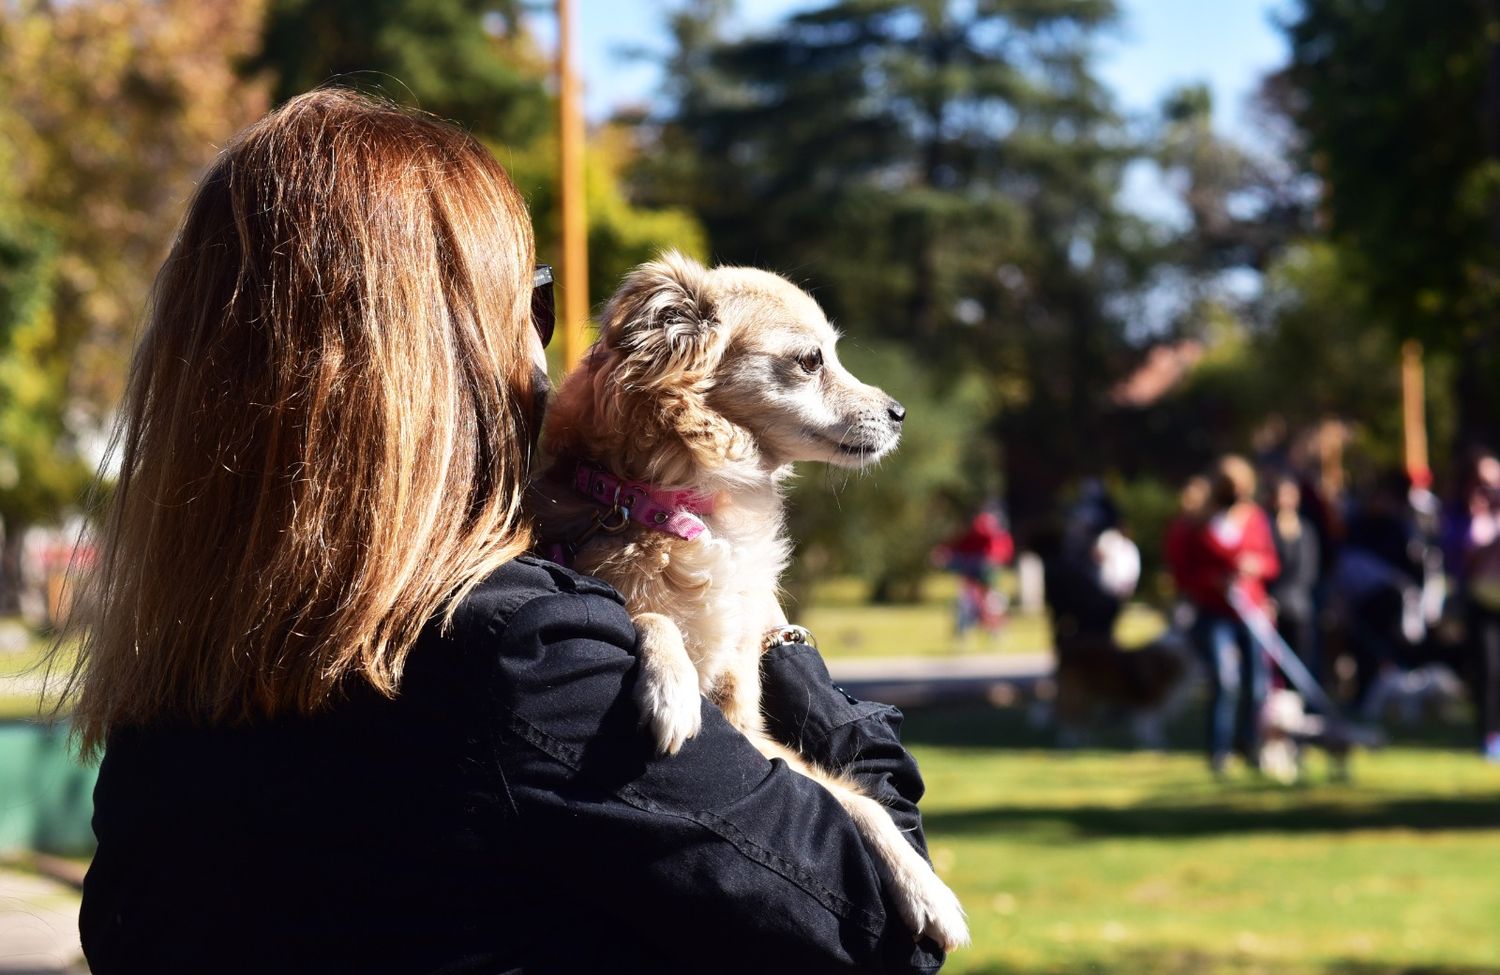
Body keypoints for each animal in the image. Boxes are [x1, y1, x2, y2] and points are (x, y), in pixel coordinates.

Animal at [531, 250, 972, 948]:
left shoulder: (746, 724)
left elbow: (856, 801)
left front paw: (924, 887)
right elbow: (648, 614)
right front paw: (672, 687)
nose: (901, 411)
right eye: (811, 360)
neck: (681, 510)